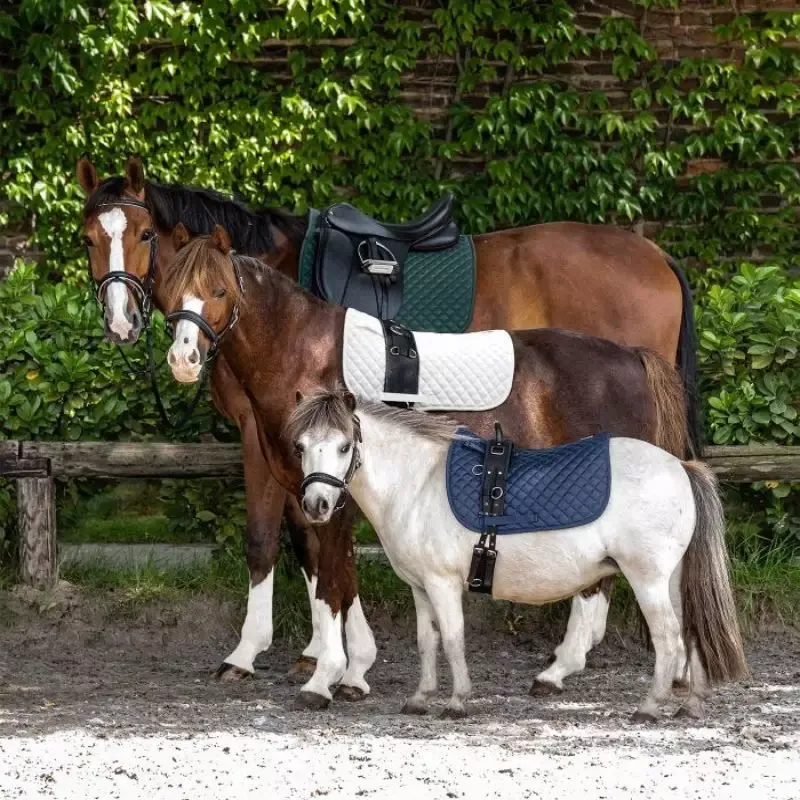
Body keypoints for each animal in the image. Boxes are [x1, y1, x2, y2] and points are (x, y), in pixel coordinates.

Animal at [77, 154, 698, 695]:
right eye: (87, 238)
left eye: (145, 235)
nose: (123, 323)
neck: (300, 339)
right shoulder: (286, 455)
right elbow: (303, 546)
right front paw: (323, 656)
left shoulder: (278, 447)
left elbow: (310, 551)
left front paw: (318, 660)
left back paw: (574, 660)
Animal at [288, 388, 747, 721]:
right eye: (301, 447)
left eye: (344, 446)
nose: (316, 505)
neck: (419, 482)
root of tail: (681, 467)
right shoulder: (420, 588)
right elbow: (426, 642)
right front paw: (420, 699)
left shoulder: (442, 584)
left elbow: (452, 639)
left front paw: (457, 702)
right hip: (673, 580)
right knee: (691, 630)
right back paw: (690, 705)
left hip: (648, 580)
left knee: (668, 638)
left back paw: (649, 707)